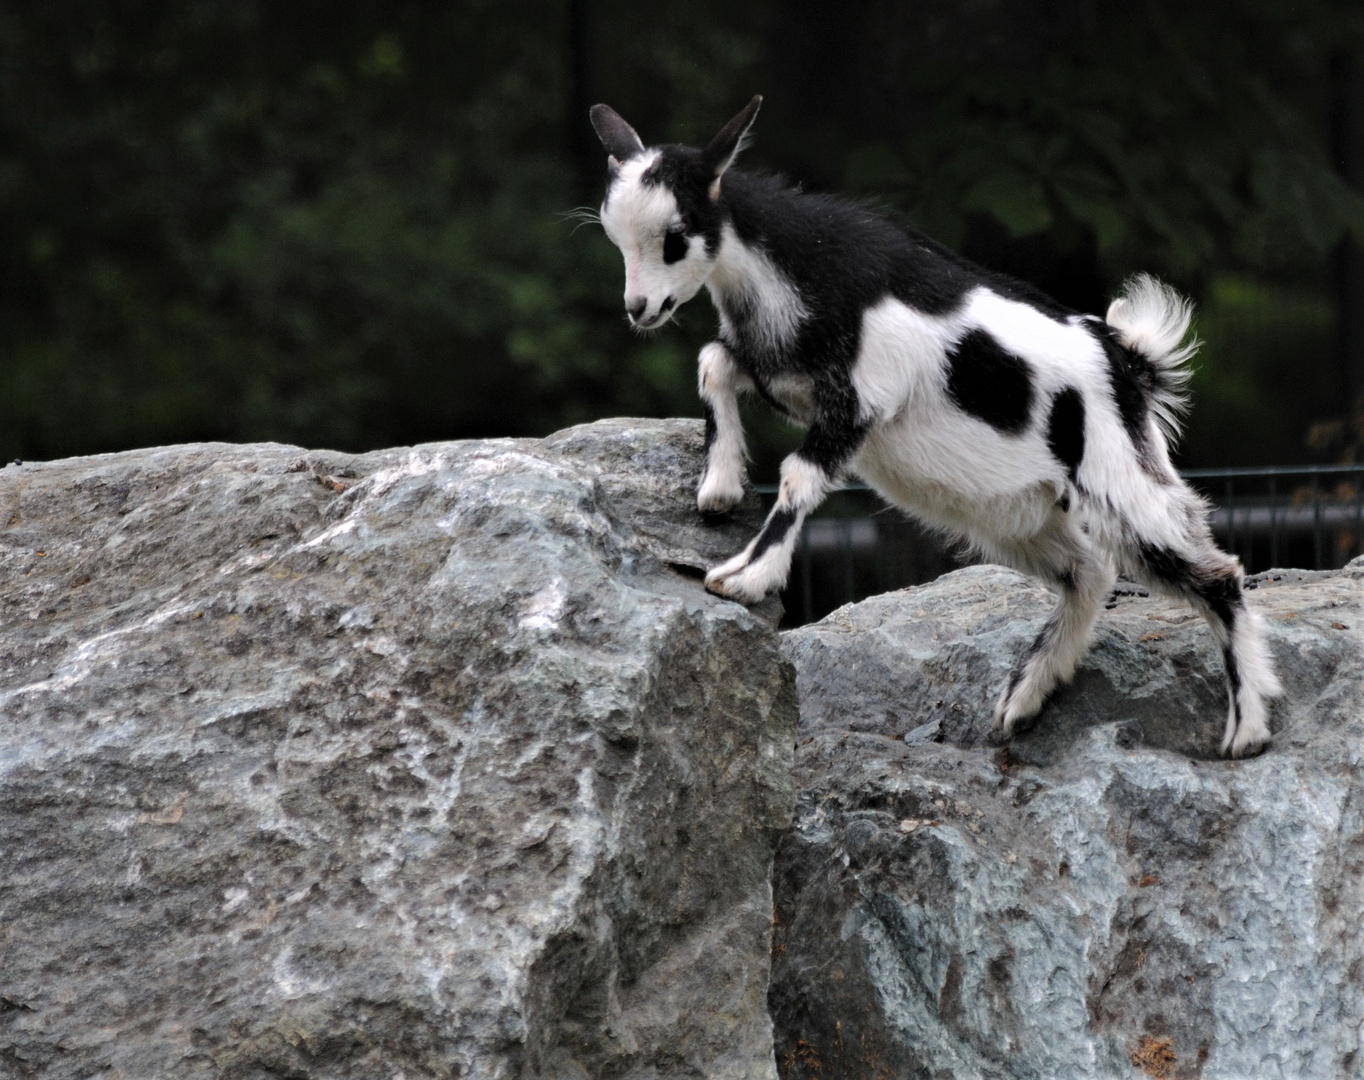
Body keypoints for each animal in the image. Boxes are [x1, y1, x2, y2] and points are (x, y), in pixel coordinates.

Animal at [586, 94, 1276, 758]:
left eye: (675, 237)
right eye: (617, 240)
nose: (638, 308)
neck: (802, 267)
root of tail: (1128, 360)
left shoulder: (856, 402)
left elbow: (798, 477)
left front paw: (742, 577)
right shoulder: (785, 376)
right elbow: (713, 363)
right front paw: (719, 487)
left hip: (1120, 481)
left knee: (1216, 573)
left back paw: (1247, 731)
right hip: (1012, 511)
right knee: (1090, 574)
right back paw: (1024, 697)